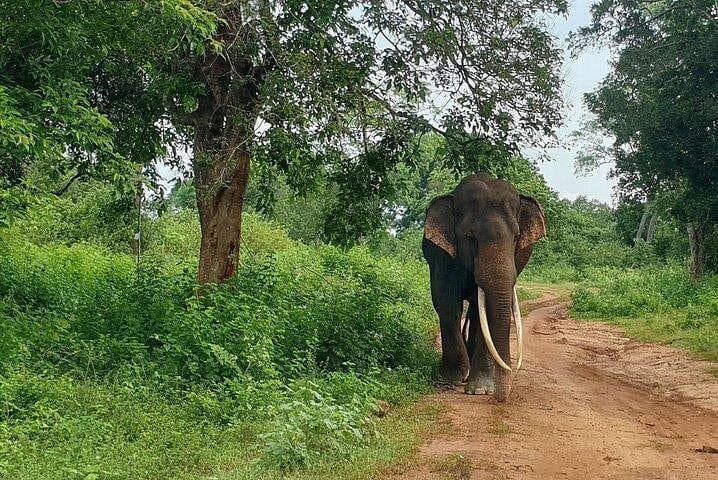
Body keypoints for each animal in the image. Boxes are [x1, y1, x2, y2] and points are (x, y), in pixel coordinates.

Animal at [422, 173, 545, 402]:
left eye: (516, 237)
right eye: (470, 237)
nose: (500, 397)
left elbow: (485, 313)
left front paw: (480, 389)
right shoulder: (444, 257)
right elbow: (447, 303)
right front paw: (454, 377)